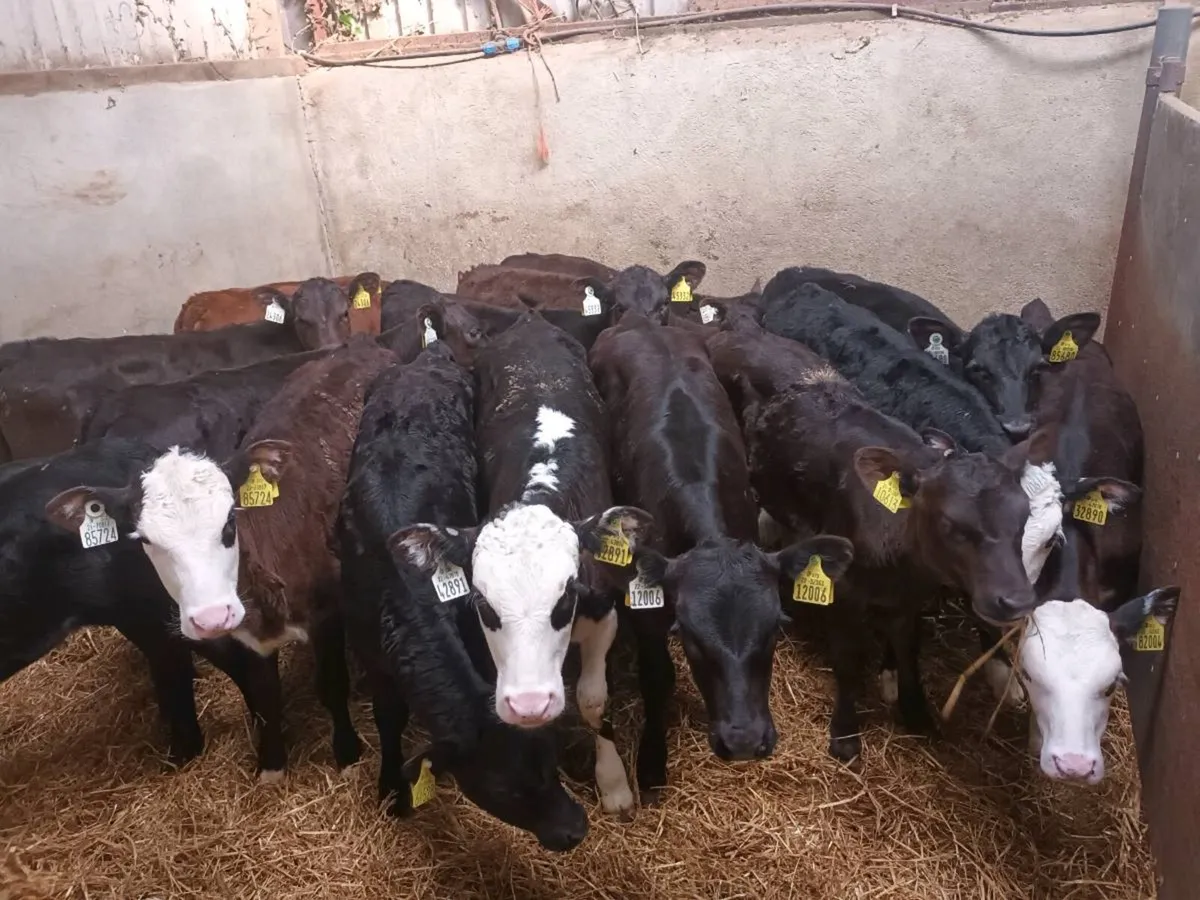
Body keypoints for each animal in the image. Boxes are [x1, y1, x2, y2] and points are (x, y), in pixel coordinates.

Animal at [47, 338, 398, 779]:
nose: (211, 617)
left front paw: (348, 755)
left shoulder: (328, 611)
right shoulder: (247, 637)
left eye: (231, 521)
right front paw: (272, 765)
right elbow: (264, 695)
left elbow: (332, 686)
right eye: (145, 540)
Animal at [336, 343, 588, 849]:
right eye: (509, 790)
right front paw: (391, 789)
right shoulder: (372, 654)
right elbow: (388, 717)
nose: (576, 828)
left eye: (550, 763)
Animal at [389, 313, 653, 816]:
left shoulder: (604, 612)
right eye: (483, 604)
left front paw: (613, 783)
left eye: (565, 598)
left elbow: (593, 700)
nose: (529, 703)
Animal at [588, 316, 853, 792]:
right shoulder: (649, 608)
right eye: (689, 637)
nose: (744, 741)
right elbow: (658, 678)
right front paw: (652, 762)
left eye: (776, 628)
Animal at [711, 327, 1059, 761]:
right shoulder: (841, 591)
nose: (1016, 601)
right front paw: (845, 736)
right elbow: (848, 661)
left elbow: (909, 650)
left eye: (1023, 515)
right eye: (950, 523)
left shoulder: (909, 599)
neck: (900, 564)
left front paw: (918, 714)